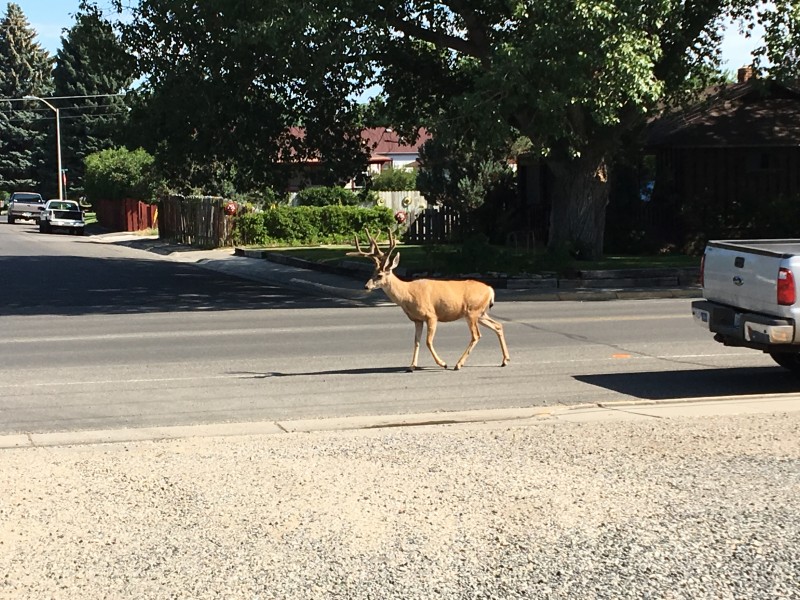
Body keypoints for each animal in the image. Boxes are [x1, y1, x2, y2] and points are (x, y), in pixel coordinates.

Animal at [347, 229, 510, 371]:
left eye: (380, 275)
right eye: (372, 272)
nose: (366, 286)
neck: (407, 294)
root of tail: (490, 289)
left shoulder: (431, 315)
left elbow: (428, 341)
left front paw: (443, 363)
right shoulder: (417, 319)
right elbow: (416, 341)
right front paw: (411, 366)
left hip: (472, 311)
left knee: (476, 335)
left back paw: (458, 364)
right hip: (480, 313)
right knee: (498, 326)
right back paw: (505, 360)